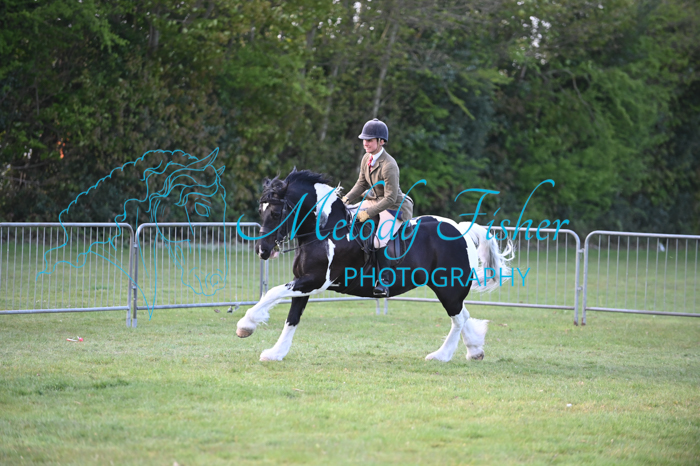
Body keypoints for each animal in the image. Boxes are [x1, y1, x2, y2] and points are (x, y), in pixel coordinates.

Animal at [236, 169, 514, 362]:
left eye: (275, 213)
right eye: (260, 211)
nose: (263, 251)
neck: (327, 230)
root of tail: (461, 229)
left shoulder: (314, 281)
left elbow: (272, 293)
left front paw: (246, 325)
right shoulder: (304, 283)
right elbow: (292, 319)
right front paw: (275, 353)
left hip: (448, 287)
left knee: (457, 318)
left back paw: (441, 355)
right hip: (448, 288)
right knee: (463, 316)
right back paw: (474, 350)